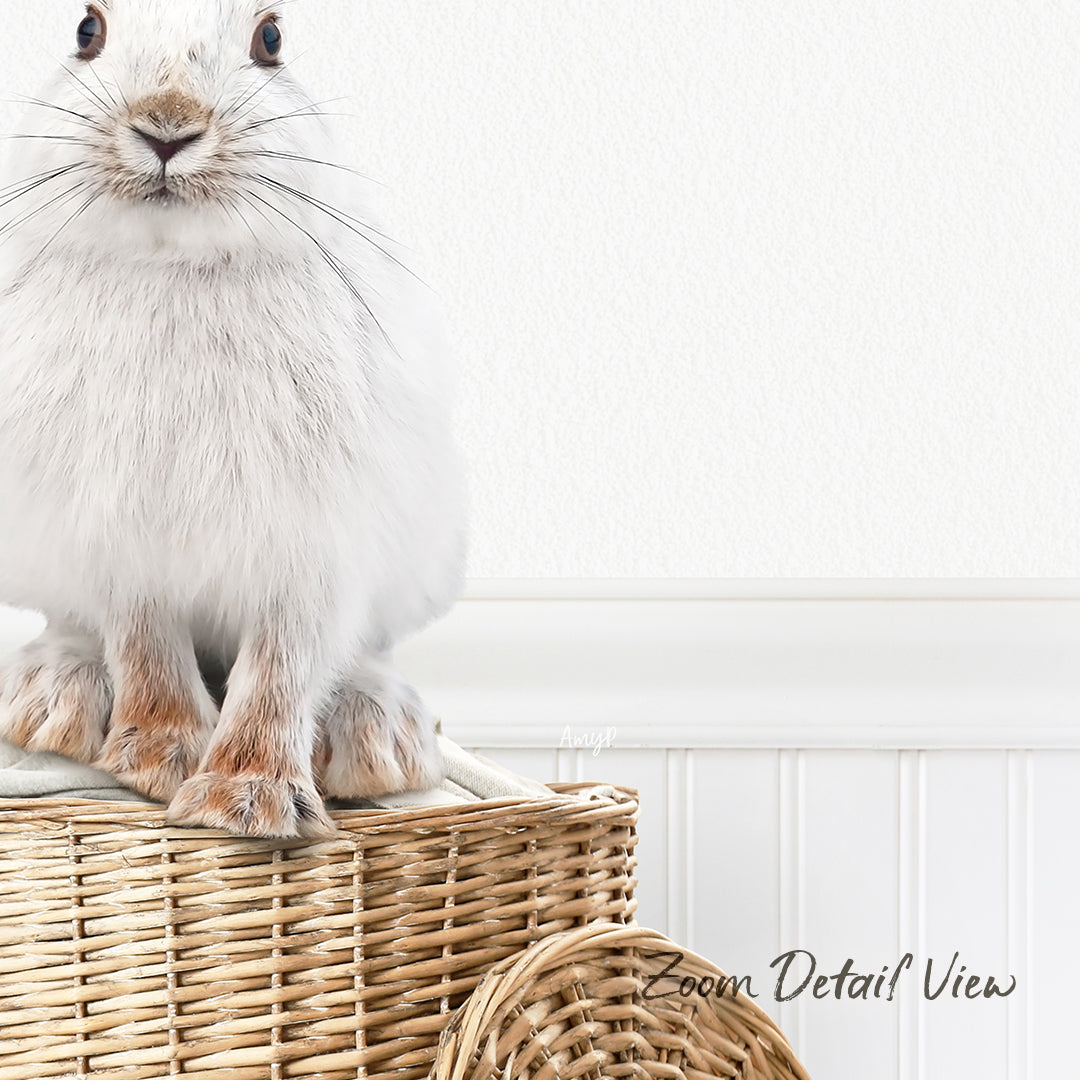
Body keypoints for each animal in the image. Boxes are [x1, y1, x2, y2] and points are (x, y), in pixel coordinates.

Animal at [0, 2, 466, 838]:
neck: (173, 265)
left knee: (366, 651)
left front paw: (244, 801)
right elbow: (145, 641)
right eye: (87, 31)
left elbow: (282, 667)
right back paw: (53, 699)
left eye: (271, 38)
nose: (167, 126)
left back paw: (379, 740)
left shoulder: (314, 540)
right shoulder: (122, 531)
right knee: (72, 623)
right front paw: (162, 762)